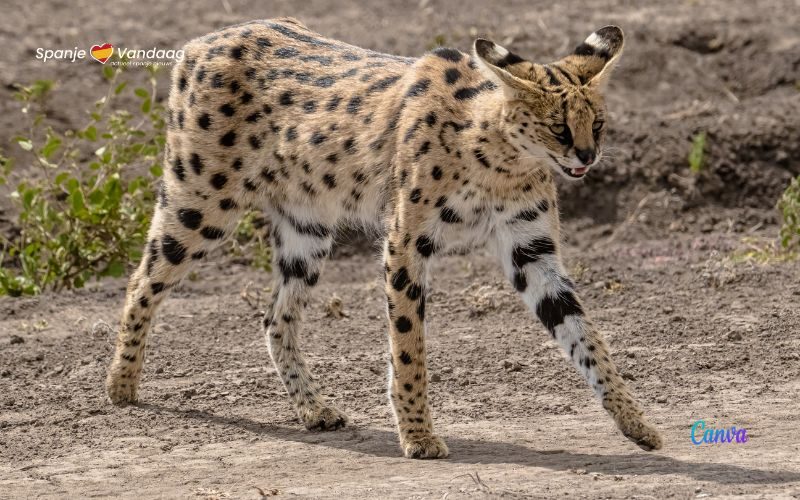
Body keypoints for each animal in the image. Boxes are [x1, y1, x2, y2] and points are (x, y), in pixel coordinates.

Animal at [109, 18, 664, 458]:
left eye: (598, 123)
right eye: (558, 128)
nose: (588, 157)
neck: (502, 159)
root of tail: (205, 40)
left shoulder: (531, 250)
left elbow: (585, 334)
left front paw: (635, 421)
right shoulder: (405, 240)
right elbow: (408, 343)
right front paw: (417, 435)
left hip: (307, 230)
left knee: (275, 318)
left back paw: (313, 409)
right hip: (200, 205)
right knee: (140, 281)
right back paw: (121, 385)